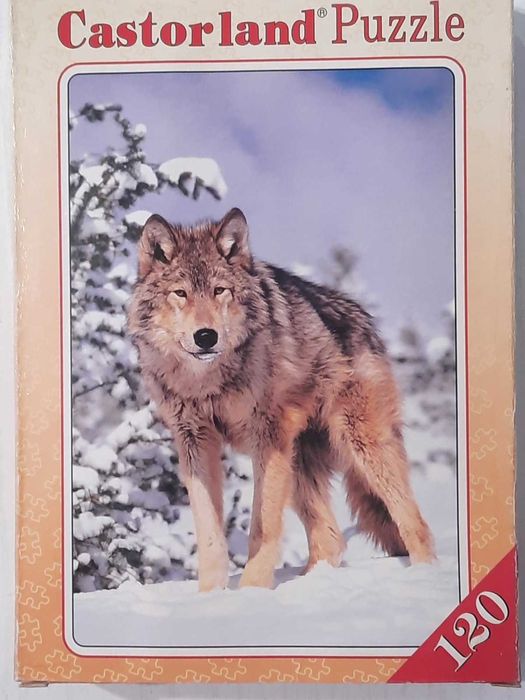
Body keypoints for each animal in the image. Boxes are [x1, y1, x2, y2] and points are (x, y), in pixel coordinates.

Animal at [128, 207, 435, 592]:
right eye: (180, 293)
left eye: (219, 291)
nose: (206, 336)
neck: (208, 382)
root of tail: (363, 319)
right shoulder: (194, 441)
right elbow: (210, 535)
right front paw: (211, 597)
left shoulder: (267, 437)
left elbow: (262, 526)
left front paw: (251, 594)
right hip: (299, 465)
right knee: (331, 538)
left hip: (363, 447)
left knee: (413, 522)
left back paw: (425, 575)